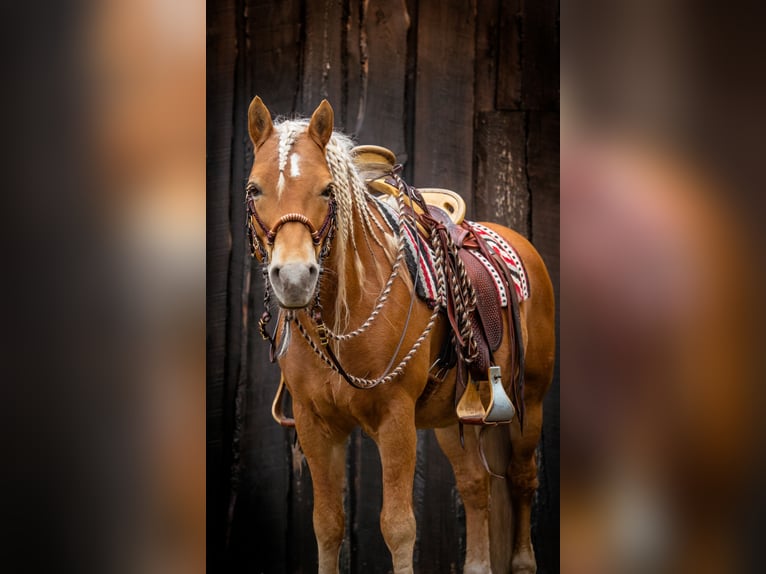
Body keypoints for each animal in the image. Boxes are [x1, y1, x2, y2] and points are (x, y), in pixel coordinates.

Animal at [245, 96, 556, 574]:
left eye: (326, 190)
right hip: (452, 416)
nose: (294, 278)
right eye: (254, 190)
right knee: (475, 484)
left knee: (522, 479)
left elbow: (398, 527)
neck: (341, 319)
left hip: (531, 404)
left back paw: (522, 562)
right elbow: (327, 525)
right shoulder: (315, 424)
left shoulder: (395, 419)